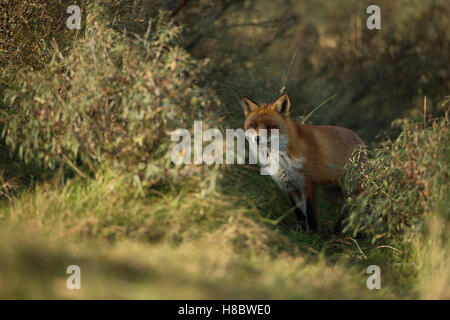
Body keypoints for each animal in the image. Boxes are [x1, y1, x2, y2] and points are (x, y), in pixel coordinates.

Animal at [243, 94, 366, 234]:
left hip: (353, 189)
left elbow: (311, 213)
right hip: (329, 192)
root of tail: (359, 140)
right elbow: (300, 214)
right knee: (345, 209)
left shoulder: (307, 184)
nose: (257, 139)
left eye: (270, 127)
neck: (282, 158)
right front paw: (301, 232)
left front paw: (313, 234)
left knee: (359, 209)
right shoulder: (291, 186)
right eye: (253, 125)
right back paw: (338, 231)